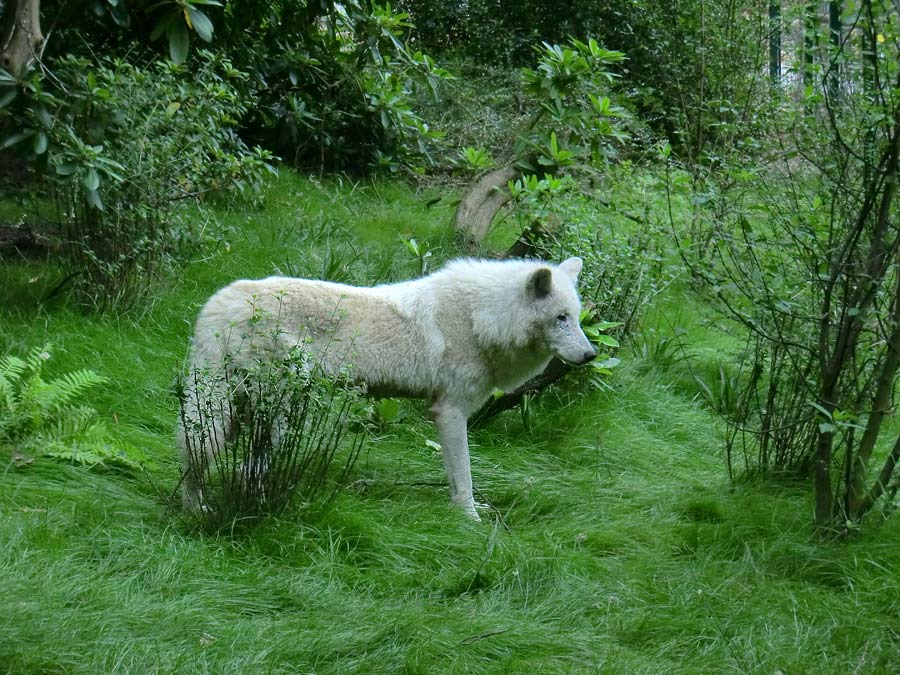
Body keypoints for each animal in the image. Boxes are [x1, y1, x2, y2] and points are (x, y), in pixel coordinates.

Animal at [178, 256, 596, 520]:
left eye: (576, 318)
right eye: (560, 319)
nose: (591, 354)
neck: (483, 317)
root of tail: (217, 303)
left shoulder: (444, 412)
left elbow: (452, 473)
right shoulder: (450, 411)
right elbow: (464, 474)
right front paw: (470, 518)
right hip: (273, 412)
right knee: (232, 464)